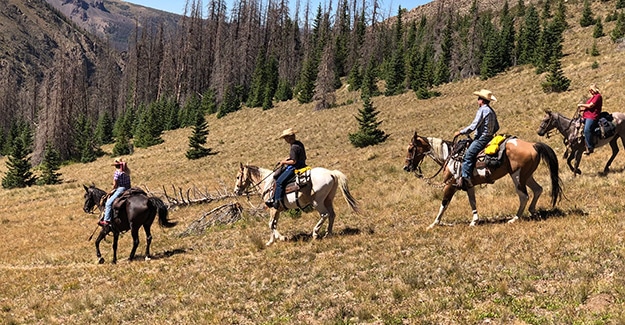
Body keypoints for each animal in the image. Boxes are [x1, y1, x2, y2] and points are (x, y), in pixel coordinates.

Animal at [404, 134, 560, 228]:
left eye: (411, 149)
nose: (406, 167)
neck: (450, 156)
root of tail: (532, 144)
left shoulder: (450, 185)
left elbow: (444, 204)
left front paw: (434, 223)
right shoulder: (469, 185)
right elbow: (472, 201)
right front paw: (474, 220)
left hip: (517, 176)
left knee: (524, 196)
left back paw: (515, 218)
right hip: (527, 175)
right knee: (538, 189)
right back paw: (533, 211)